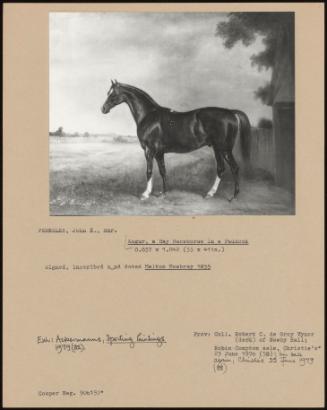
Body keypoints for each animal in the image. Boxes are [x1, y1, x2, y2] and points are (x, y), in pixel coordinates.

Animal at [100, 79, 251, 200]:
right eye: (108, 93)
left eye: (113, 94)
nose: (103, 109)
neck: (149, 115)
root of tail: (231, 113)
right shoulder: (159, 152)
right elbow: (163, 171)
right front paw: (163, 193)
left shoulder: (149, 150)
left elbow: (149, 171)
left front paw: (145, 194)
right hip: (216, 148)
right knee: (221, 168)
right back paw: (210, 193)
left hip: (224, 149)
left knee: (234, 168)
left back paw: (233, 196)